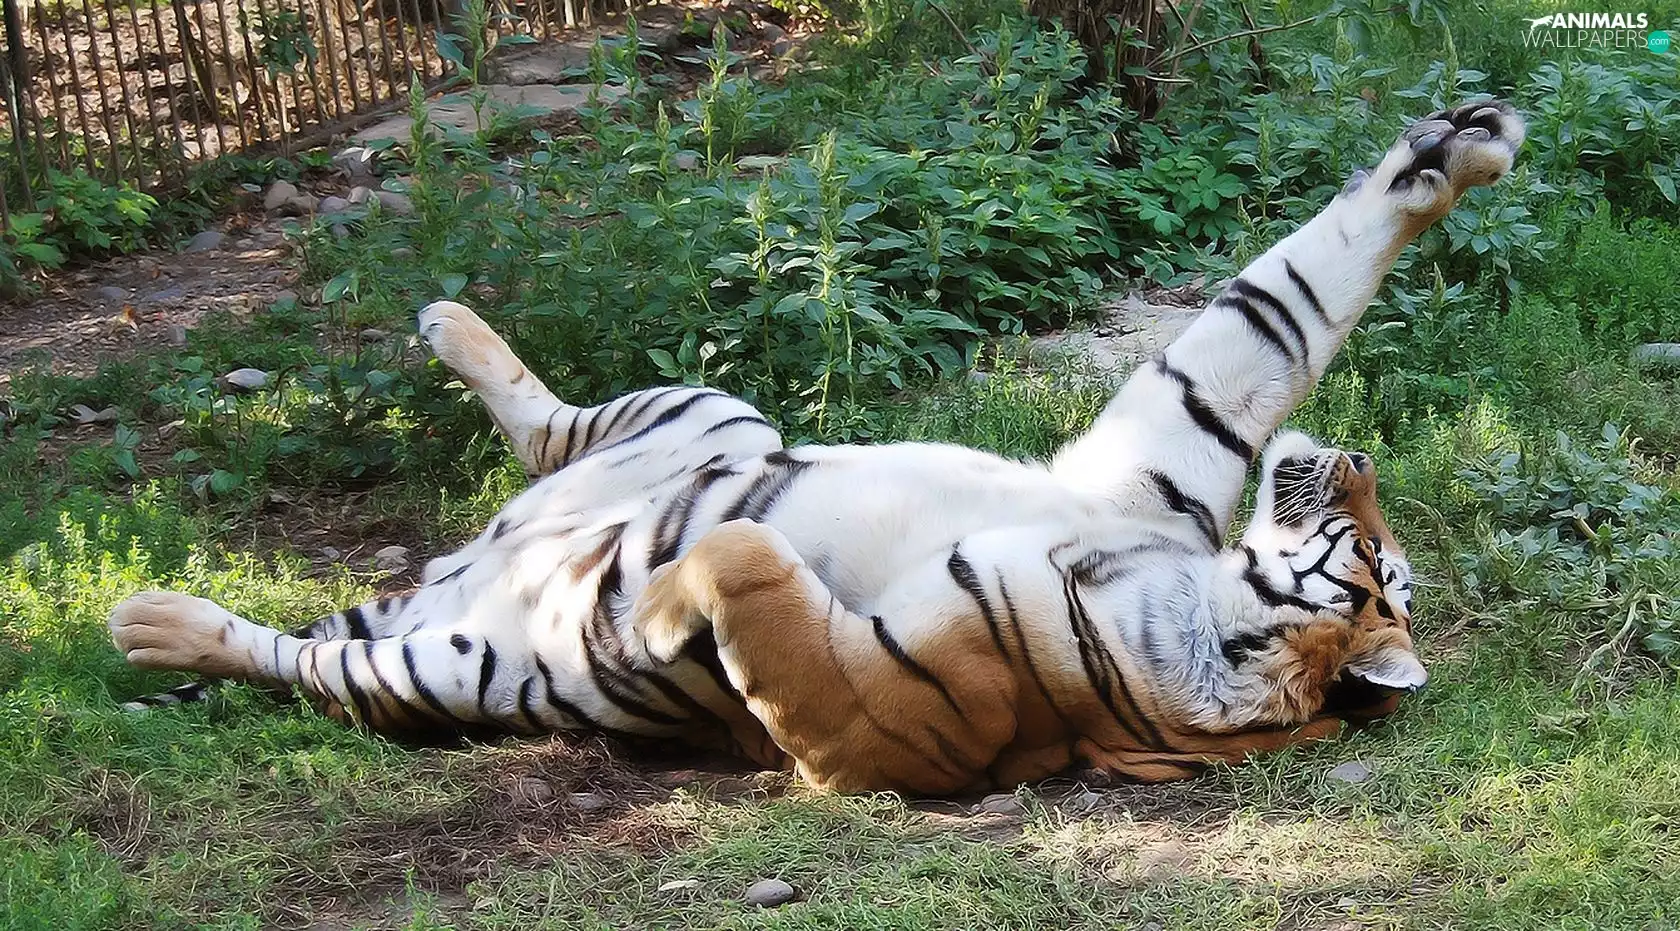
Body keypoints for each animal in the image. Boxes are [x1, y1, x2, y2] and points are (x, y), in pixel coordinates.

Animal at [108, 101, 1524, 794]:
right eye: (1382, 553)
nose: (1358, 465)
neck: (1174, 586)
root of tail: (444, 575)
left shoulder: (859, 725)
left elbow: (740, 562)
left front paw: (654, 605)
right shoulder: (1153, 447)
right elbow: (1278, 309)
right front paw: (1453, 153)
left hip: (442, 668)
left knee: (294, 657)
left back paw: (149, 620)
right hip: (713, 415)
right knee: (552, 428)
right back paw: (449, 320)